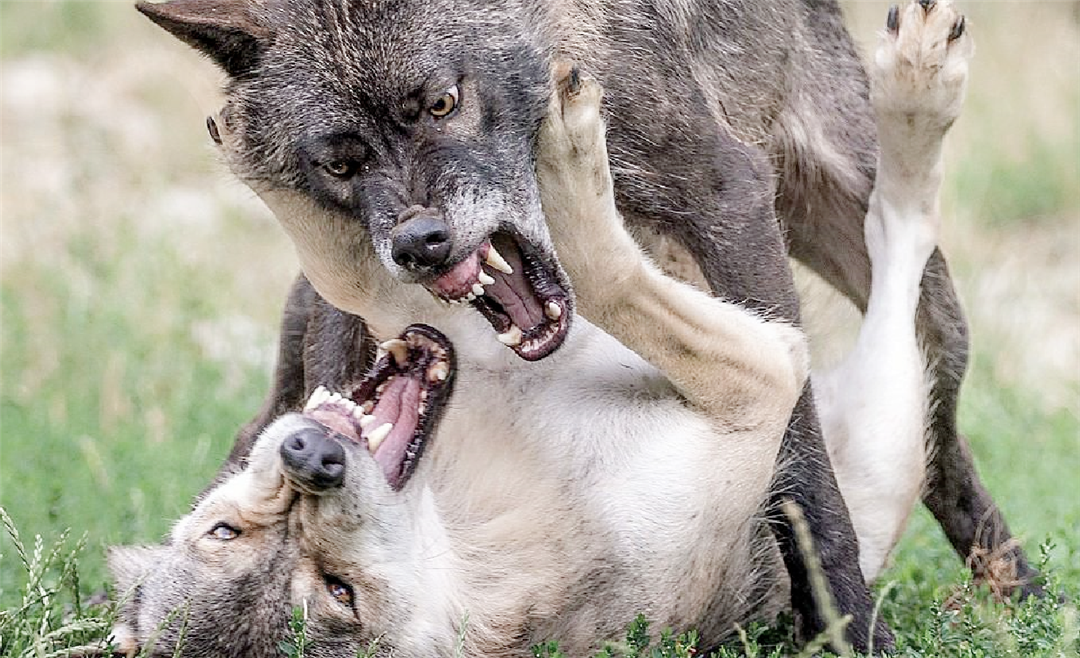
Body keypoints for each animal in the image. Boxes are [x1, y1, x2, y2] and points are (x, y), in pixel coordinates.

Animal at [111, 0, 1036, 648]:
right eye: (340, 162)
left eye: (442, 102)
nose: (418, 244)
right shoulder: (356, 302)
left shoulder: (727, 199)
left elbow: (807, 480)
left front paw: (851, 628)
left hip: (932, 320)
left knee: (944, 449)